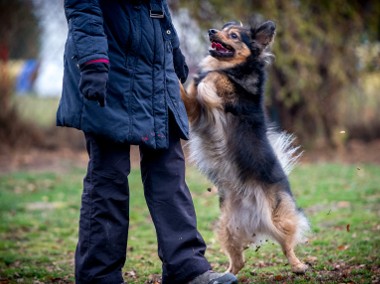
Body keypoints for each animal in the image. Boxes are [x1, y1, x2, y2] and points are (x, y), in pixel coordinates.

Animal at [180, 20, 310, 276]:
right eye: (221, 29)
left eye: (233, 35)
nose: (211, 31)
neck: (233, 68)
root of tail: (255, 218)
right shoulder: (195, 111)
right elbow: (190, 90)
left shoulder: (234, 98)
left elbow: (218, 79)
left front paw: (207, 78)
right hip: (227, 228)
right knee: (238, 261)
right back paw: (226, 274)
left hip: (278, 217)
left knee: (288, 245)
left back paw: (298, 265)